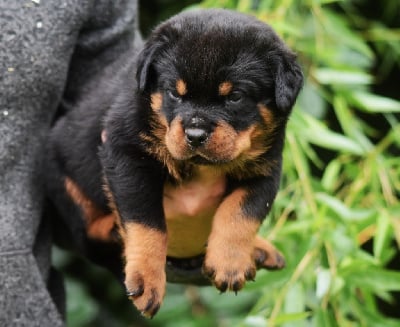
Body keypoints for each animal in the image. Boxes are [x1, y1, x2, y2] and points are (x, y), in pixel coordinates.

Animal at [47, 9, 304, 320]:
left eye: (235, 97)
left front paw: (230, 262)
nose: (195, 134)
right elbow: (147, 222)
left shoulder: (266, 169)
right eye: (175, 93)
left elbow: (241, 212)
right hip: (60, 175)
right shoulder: (126, 153)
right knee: (87, 231)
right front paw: (146, 280)